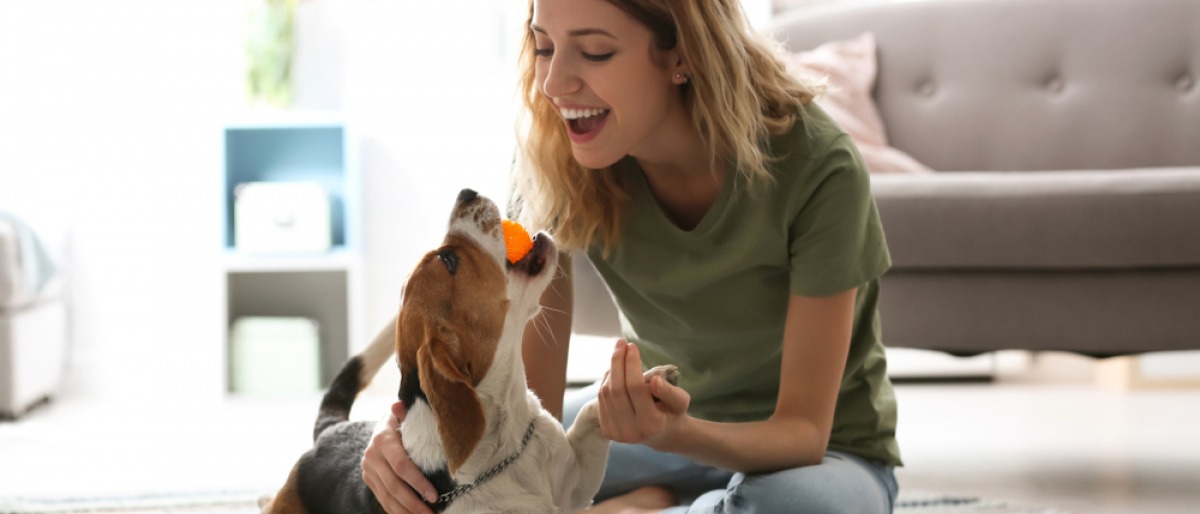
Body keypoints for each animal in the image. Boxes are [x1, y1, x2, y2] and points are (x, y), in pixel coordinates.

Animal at [262, 189, 676, 514]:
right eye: (448, 261)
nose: (466, 192)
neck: (505, 437)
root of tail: (329, 432)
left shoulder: (575, 483)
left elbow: (593, 411)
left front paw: (641, 383)